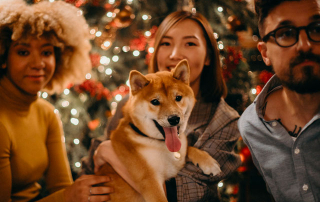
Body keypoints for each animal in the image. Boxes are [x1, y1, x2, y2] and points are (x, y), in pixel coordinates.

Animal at [96, 59, 221, 201]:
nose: (174, 119)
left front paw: (208, 162)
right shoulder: (150, 182)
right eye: (155, 101)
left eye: (178, 98)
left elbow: (189, 147)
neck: (155, 142)